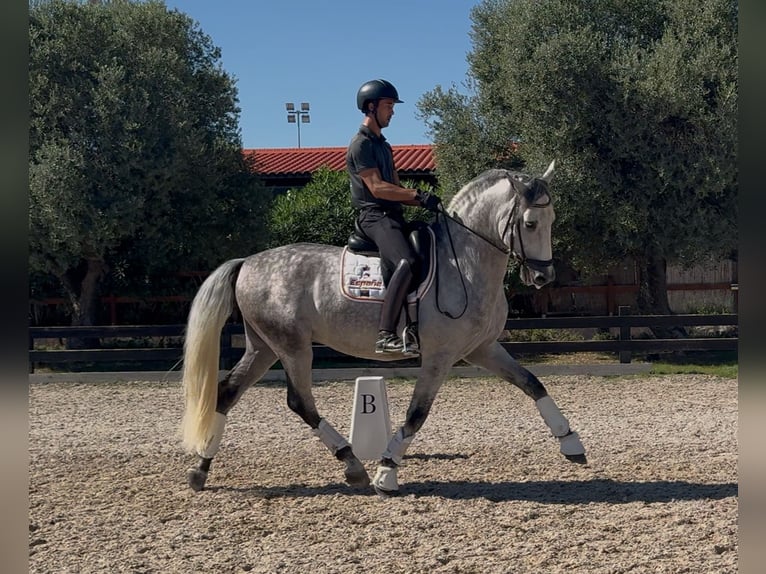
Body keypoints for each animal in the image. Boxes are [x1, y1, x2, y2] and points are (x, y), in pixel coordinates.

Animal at [180, 159, 587, 496]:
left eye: (552, 220)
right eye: (530, 223)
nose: (543, 277)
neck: (466, 262)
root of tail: (247, 262)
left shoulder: (482, 349)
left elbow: (532, 384)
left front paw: (571, 442)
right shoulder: (440, 356)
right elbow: (417, 413)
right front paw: (387, 471)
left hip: (263, 346)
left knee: (227, 392)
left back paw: (201, 470)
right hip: (292, 346)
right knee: (299, 402)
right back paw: (353, 464)